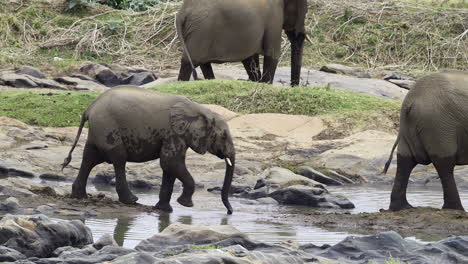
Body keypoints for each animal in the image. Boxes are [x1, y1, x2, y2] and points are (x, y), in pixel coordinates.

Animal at [62, 86, 236, 214]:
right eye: (223, 136)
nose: (229, 212)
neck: (202, 110)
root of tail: (89, 108)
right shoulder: (173, 133)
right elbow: (170, 163)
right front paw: (185, 204)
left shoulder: (175, 135)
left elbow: (169, 168)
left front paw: (165, 210)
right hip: (107, 126)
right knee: (118, 159)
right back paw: (131, 200)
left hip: (99, 129)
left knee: (89, 158)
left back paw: (80, 197)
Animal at [176, 0, 308, 85]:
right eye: (306, 12)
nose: (294, 87)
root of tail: (182, 13)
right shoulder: (274, 17)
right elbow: (272, 53)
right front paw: (265, 84)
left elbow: (250, 58)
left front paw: (257, 81)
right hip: (202, 31)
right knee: (190, 62)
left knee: (201, 63)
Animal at [384, 71, 468, 211]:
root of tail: (411, 100)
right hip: (438, 124)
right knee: (444, 163)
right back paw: (455, 209)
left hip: (410, 125)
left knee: (405, 159)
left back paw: (402, 207)